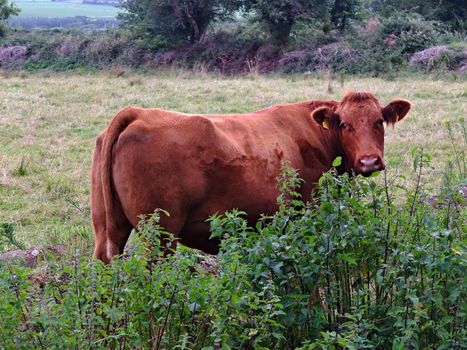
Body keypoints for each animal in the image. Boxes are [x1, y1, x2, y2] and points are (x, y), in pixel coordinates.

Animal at [92, 91, 414, 262]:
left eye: (379, 121)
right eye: (345, 125)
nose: (369, 160)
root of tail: (139, 113)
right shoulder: (306, 215)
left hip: (107, 227)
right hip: (160, 234)